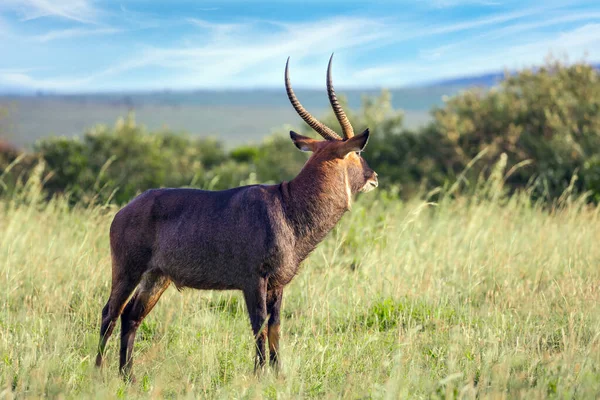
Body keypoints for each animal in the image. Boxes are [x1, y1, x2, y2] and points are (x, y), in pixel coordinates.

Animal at [95, 54, 378, 380]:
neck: (288, 204)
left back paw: (128, 377)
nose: (374, 177)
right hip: (128, 271)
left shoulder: (278, 284)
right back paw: (98, 373)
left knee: (131, 317)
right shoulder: (253, 280)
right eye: (357, 153)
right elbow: (259, 326)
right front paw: (259, 375)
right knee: (109, 313)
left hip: (157, 277)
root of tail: (123, 211)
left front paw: (278, 374)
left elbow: (275, 327)